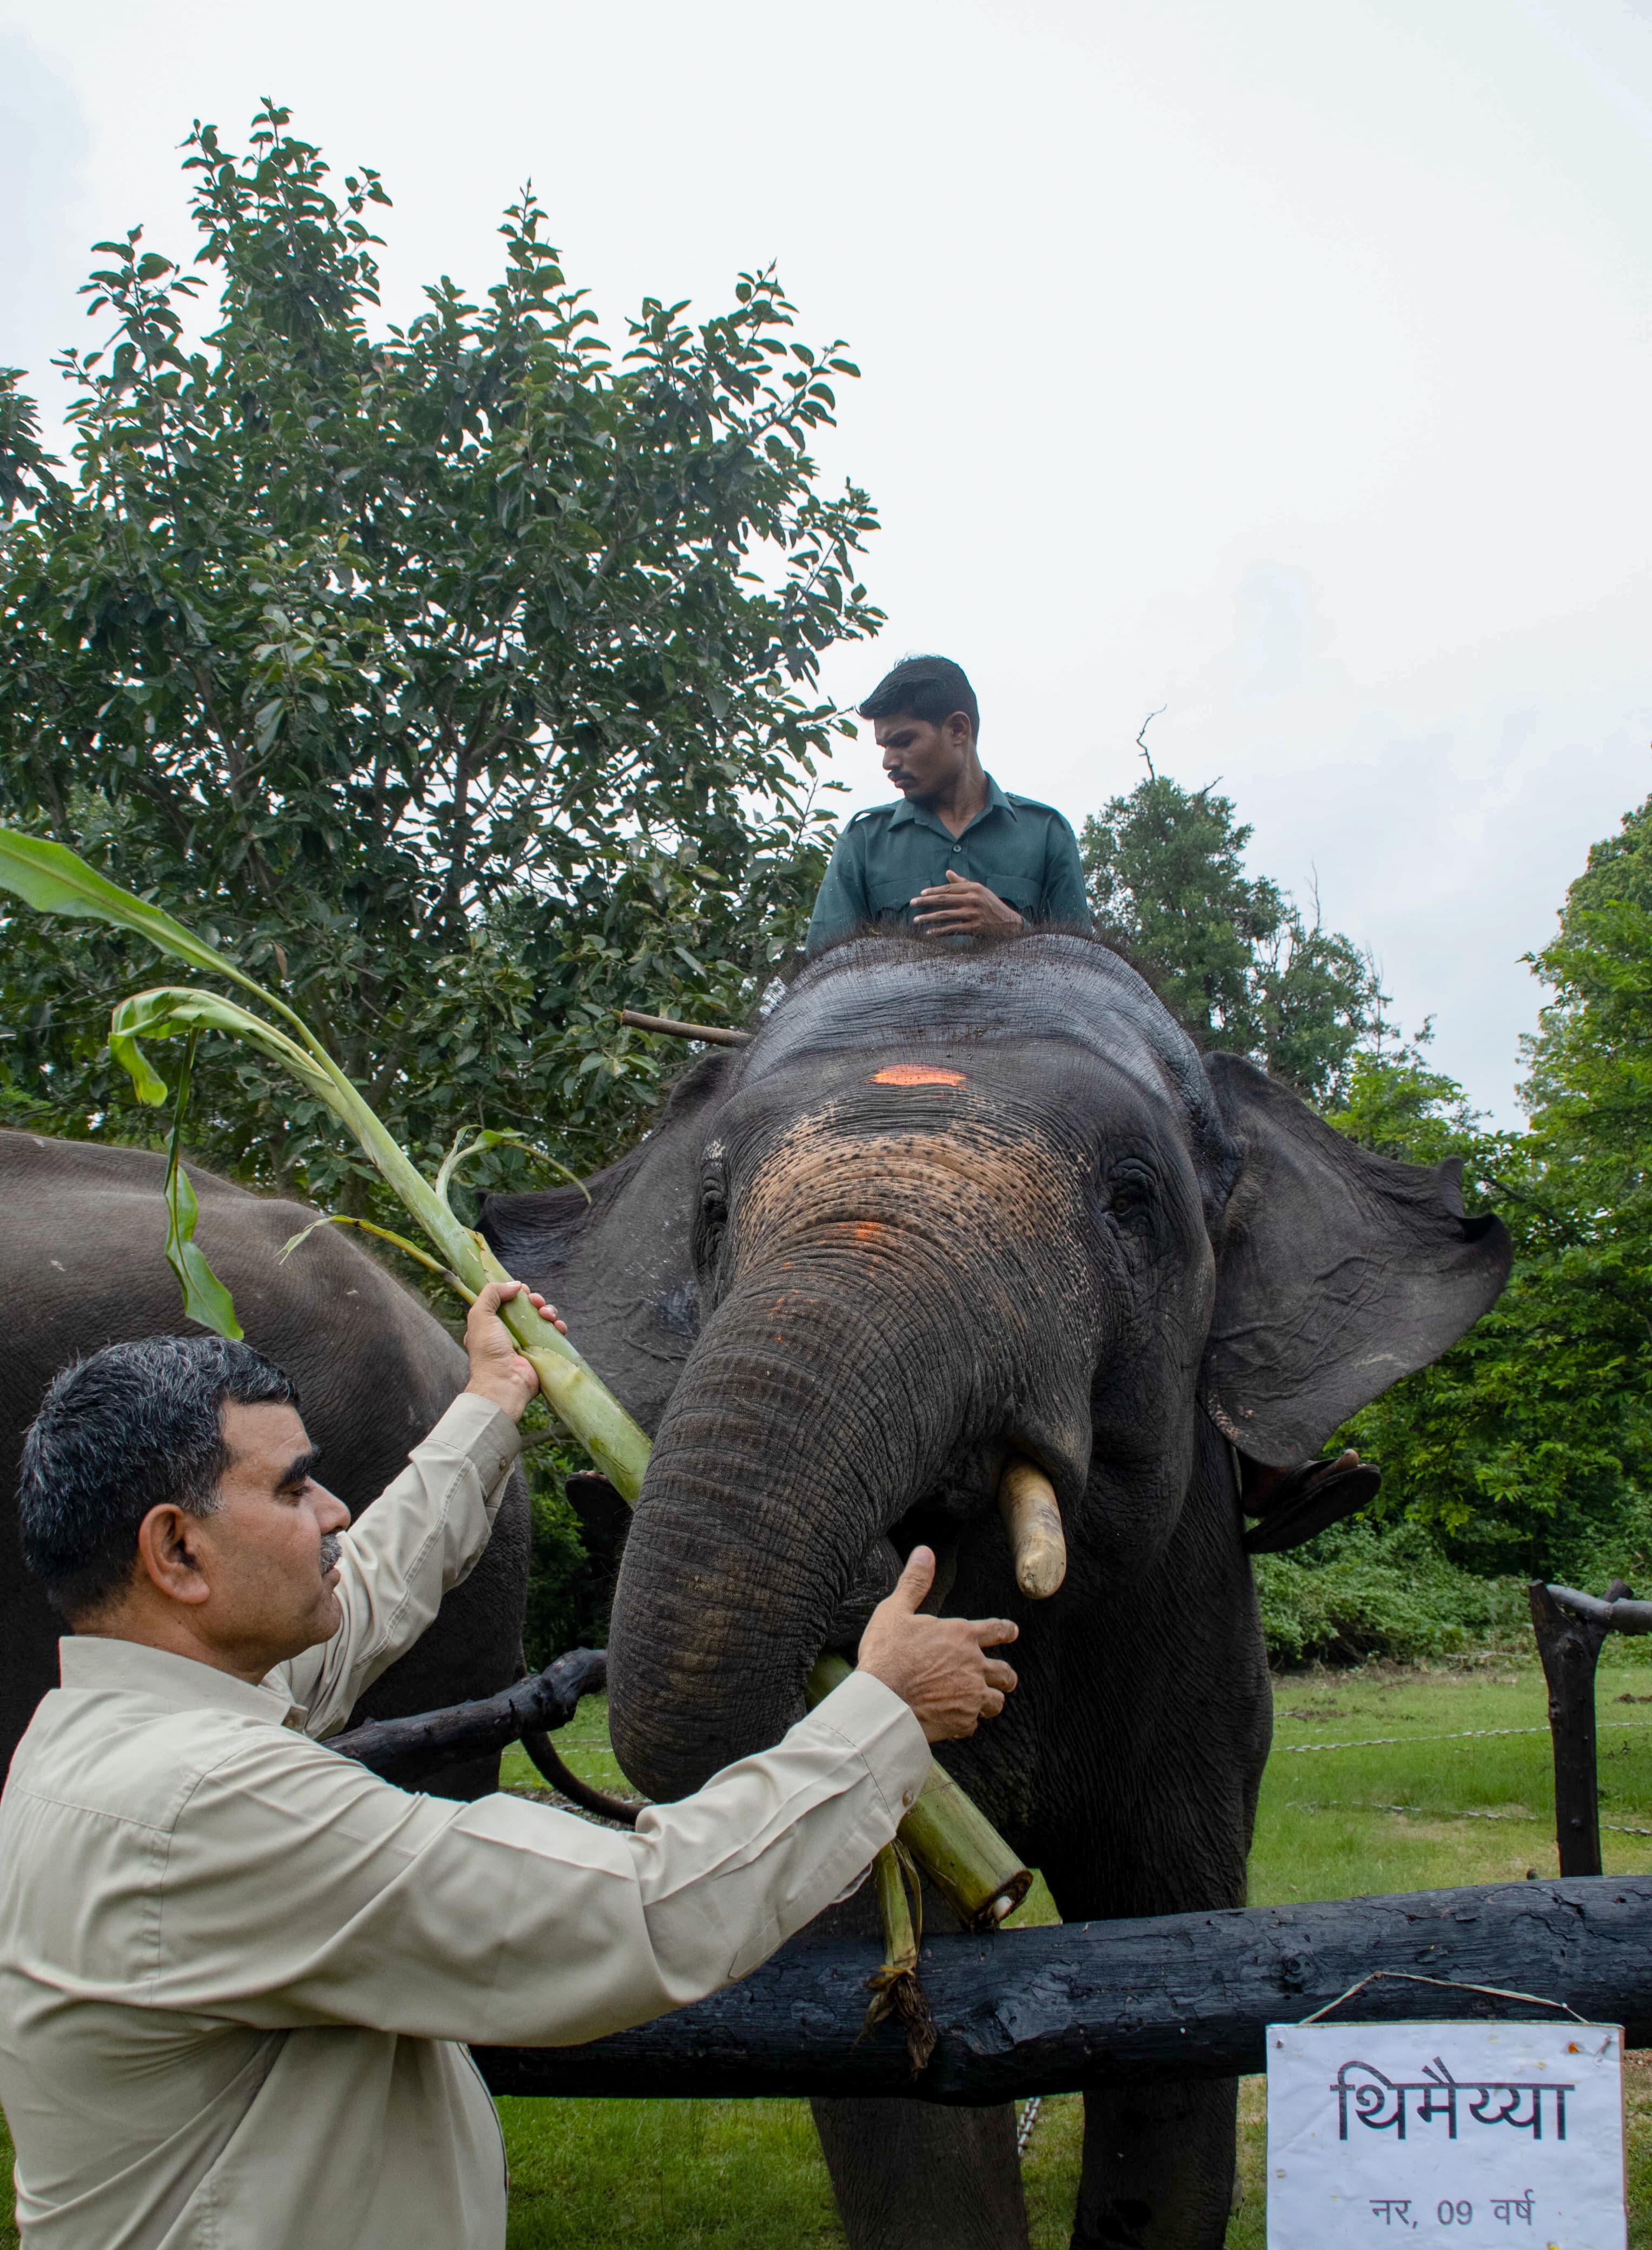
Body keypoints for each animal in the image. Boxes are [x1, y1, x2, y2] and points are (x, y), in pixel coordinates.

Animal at [486, 931, 1521, 2250]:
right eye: (711, 1215)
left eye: (1133, 1200)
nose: (876, 1575)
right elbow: (868, 2005)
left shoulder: (1198, 1639)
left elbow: (1174, 1954)